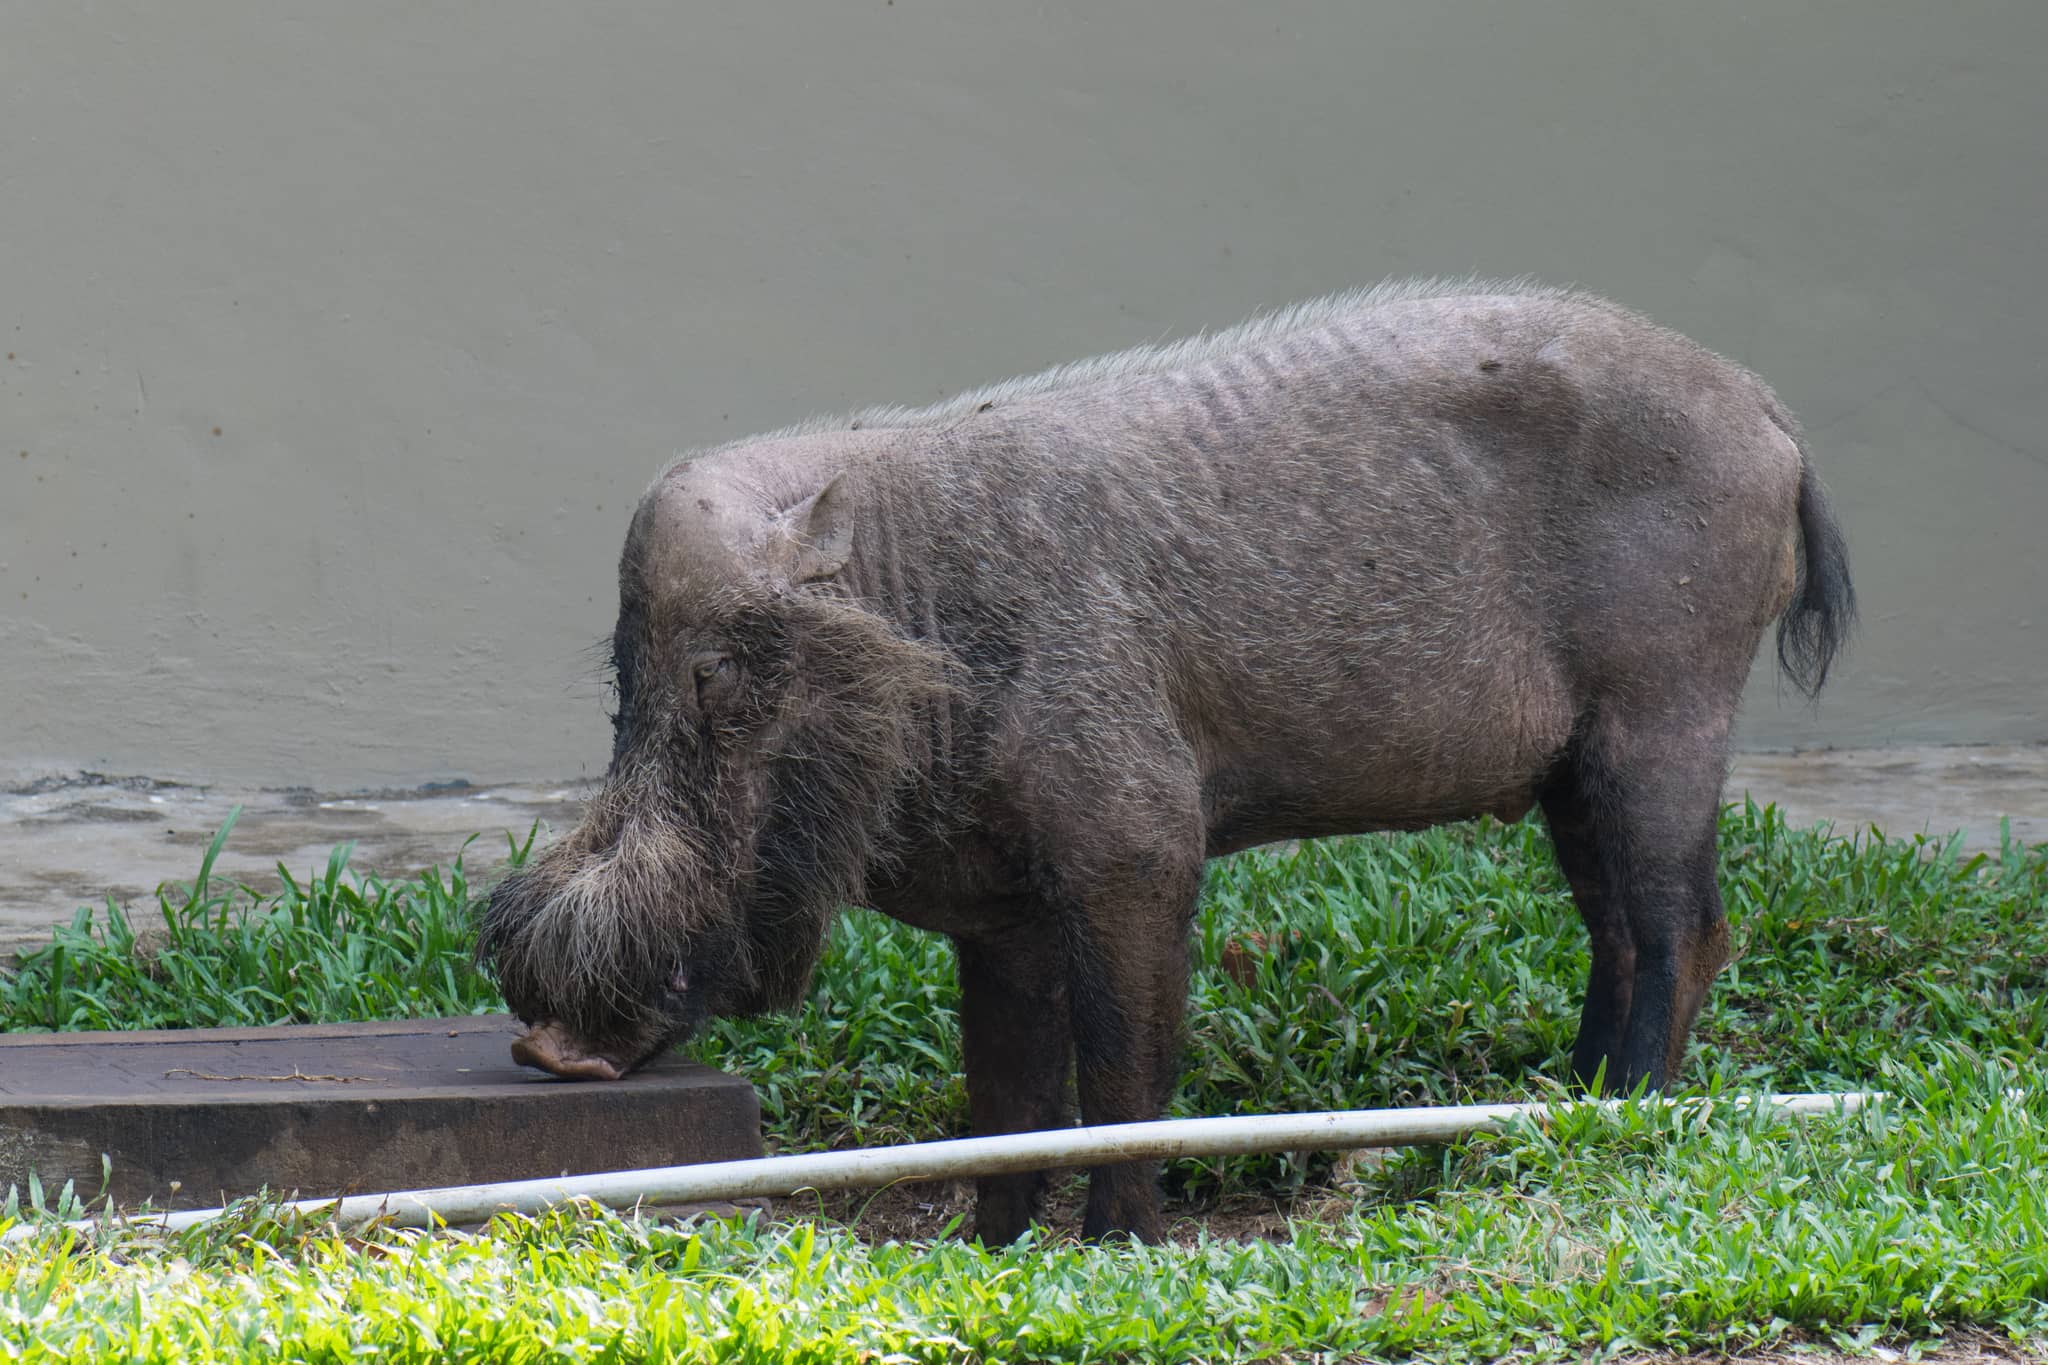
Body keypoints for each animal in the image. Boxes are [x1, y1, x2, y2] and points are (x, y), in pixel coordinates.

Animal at [479, 278, 1854, 1243]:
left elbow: (1121, 1067)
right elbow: (1004, 1094)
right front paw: (988, 1253)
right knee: (1616, 931)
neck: (922, 623)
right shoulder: (999, 913)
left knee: (1686, 929)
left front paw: (1119, 1247)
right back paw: (1547, 1111)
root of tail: (1770, 414)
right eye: (622, 679)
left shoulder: (1138, 849)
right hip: (1572, 772)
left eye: (721, 679)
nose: (542, 1048)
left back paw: (1626, 1118)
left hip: (1662, 712)